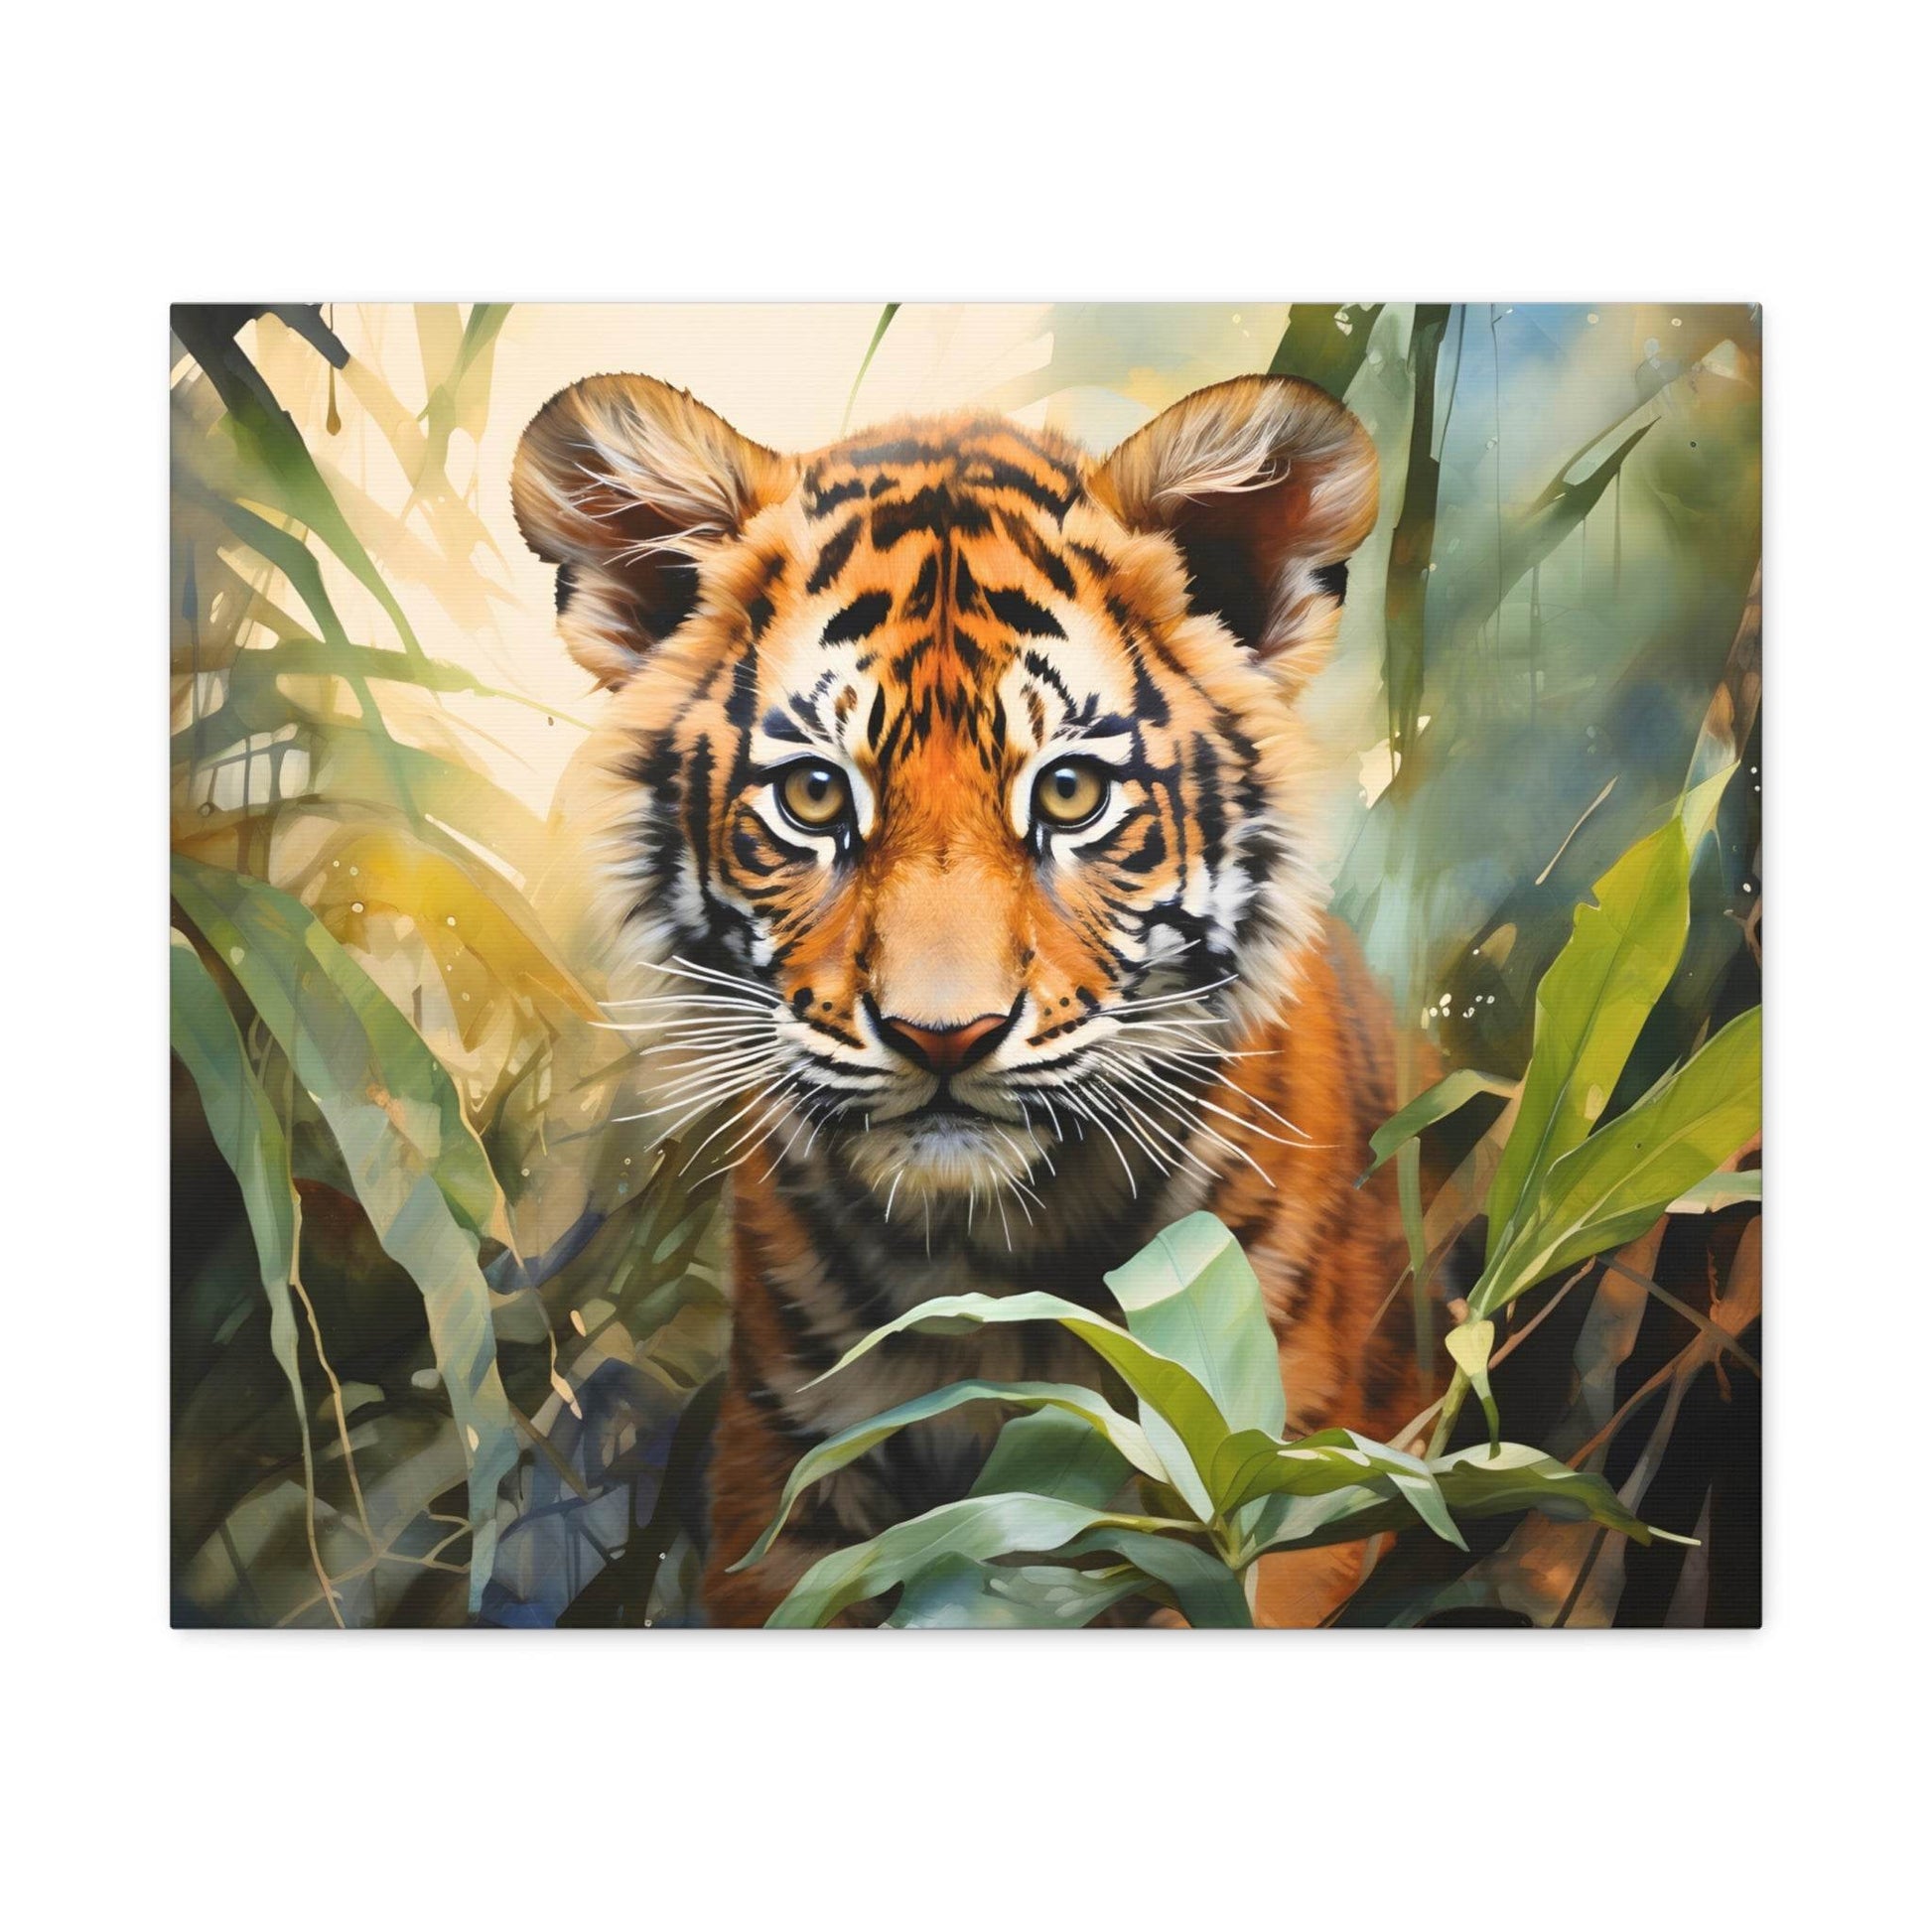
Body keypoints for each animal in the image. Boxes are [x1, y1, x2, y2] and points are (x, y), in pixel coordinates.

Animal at [512, 369, 1425, 1627]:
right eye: (812, 795)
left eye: (1072, 791)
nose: (942, 1036)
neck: (991, 1263)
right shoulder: (781, 1490)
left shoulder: (1291, 1487)